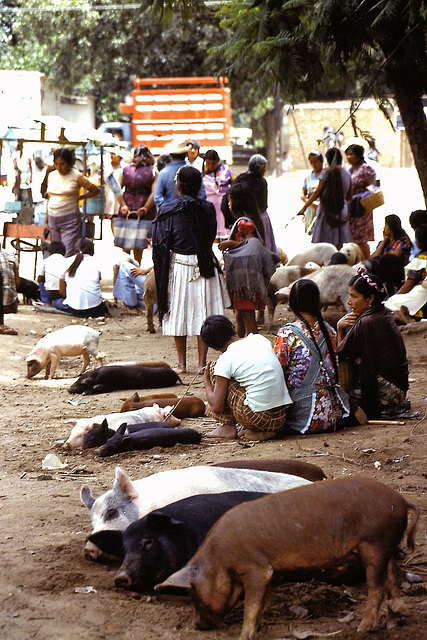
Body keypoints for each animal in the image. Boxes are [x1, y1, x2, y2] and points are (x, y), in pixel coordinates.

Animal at [158, 478, 422, 636]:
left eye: (192, 594)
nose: (195, 625)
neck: (219, 559)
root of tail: (400, 500)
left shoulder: (254, 567)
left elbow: (250, 605)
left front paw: (245, 635)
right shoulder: (270, 573)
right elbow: (261, 603)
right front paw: (260, 626)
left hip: (374, 544)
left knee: (378, 587)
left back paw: (363, 629)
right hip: (386, 545)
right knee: (394, 578)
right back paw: (393, 621)